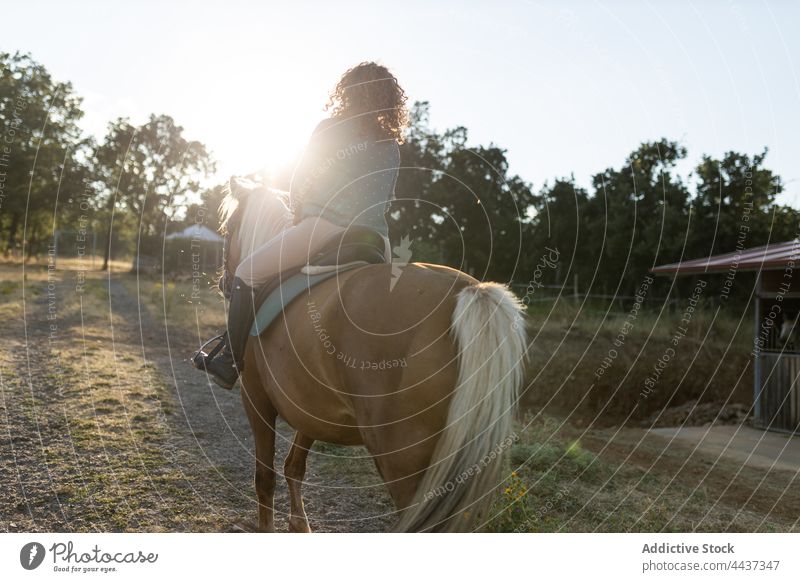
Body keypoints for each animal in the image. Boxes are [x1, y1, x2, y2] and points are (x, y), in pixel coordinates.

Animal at [216, 181, 528, 532]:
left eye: (227, 228)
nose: (223, 282)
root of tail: (466, 291)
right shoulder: (312, 408)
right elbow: (293, 465)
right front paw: (300, 525)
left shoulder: (255, 398)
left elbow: (265, 477)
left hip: (403, 461)